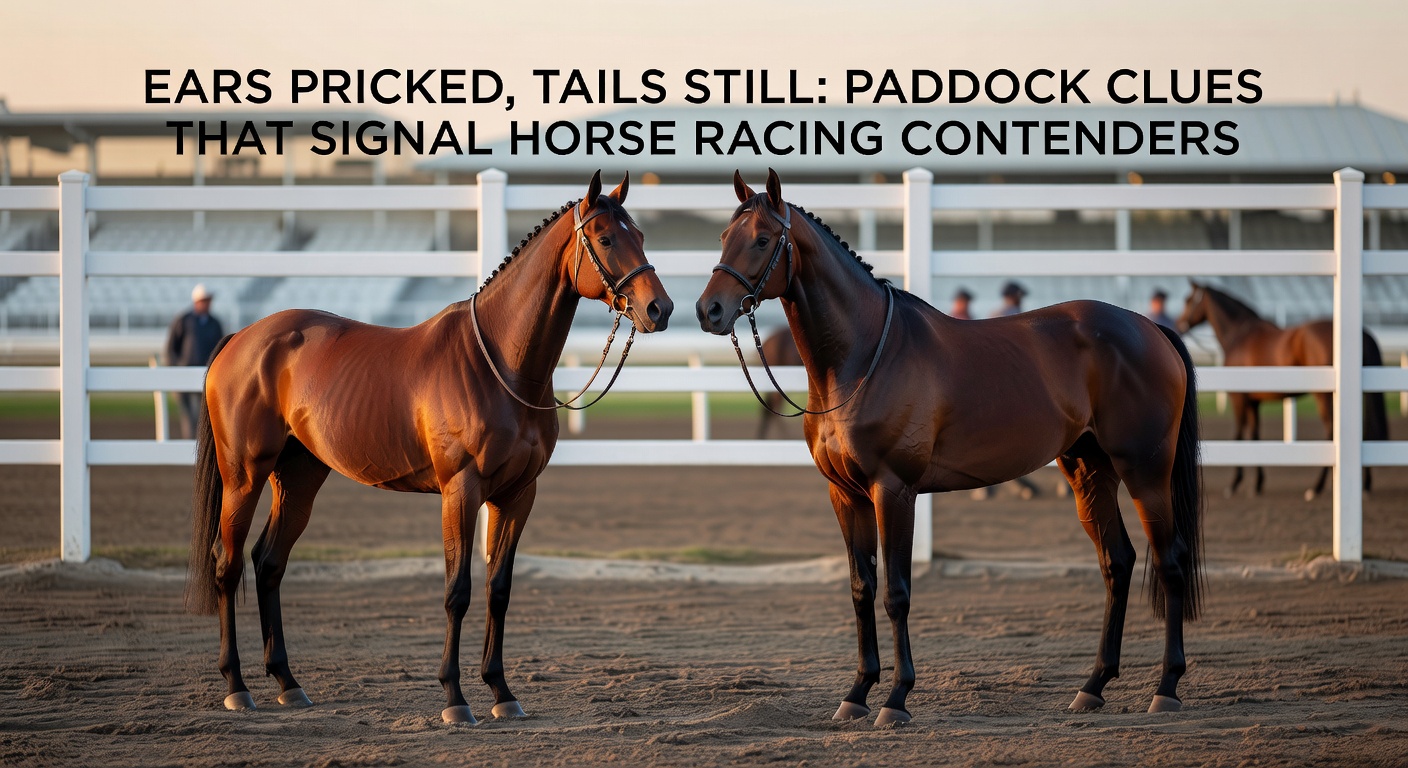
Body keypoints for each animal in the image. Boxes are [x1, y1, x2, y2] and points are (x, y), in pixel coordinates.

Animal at [185, 171, 673, 724]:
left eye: (641, 236)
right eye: (606, 239)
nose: (660, 309)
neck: (501, 365)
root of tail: (241, 338)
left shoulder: (517, 495)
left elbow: (499, 590)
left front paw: (502, 693)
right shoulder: (460, 491)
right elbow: (457, 592)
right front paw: (455, 699)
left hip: (299, 477)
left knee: (268, 563)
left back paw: (289, 683)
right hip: (243, 476)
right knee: (227, 566)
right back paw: (236, 686)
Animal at [697, 169, 1204, 725]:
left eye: (763, 240)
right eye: (724, 236)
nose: (708, 310)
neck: (863, 357)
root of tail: (1149, 327)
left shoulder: (893, 491)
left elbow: (897, 592)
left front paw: (896, 699)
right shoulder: (845, 495)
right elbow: (861, 589)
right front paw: (857, 693)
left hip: (1146, 472)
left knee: (1170, 562)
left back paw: (1167, 688)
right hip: (1089, 471)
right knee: (1118, 562)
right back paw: (1092, 686)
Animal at [1175, 282, 1388, 500]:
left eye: (1188, 300)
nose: (1180, 324)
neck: (1239, 335)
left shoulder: (1239, 398)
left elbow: (1239, 435)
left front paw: (1234, 484)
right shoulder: (1254, 402)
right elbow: (1255, 436)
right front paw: (1257, 484)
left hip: (1324, 396)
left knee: (1331, 433)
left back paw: (1316, 488)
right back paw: (1364, 485)